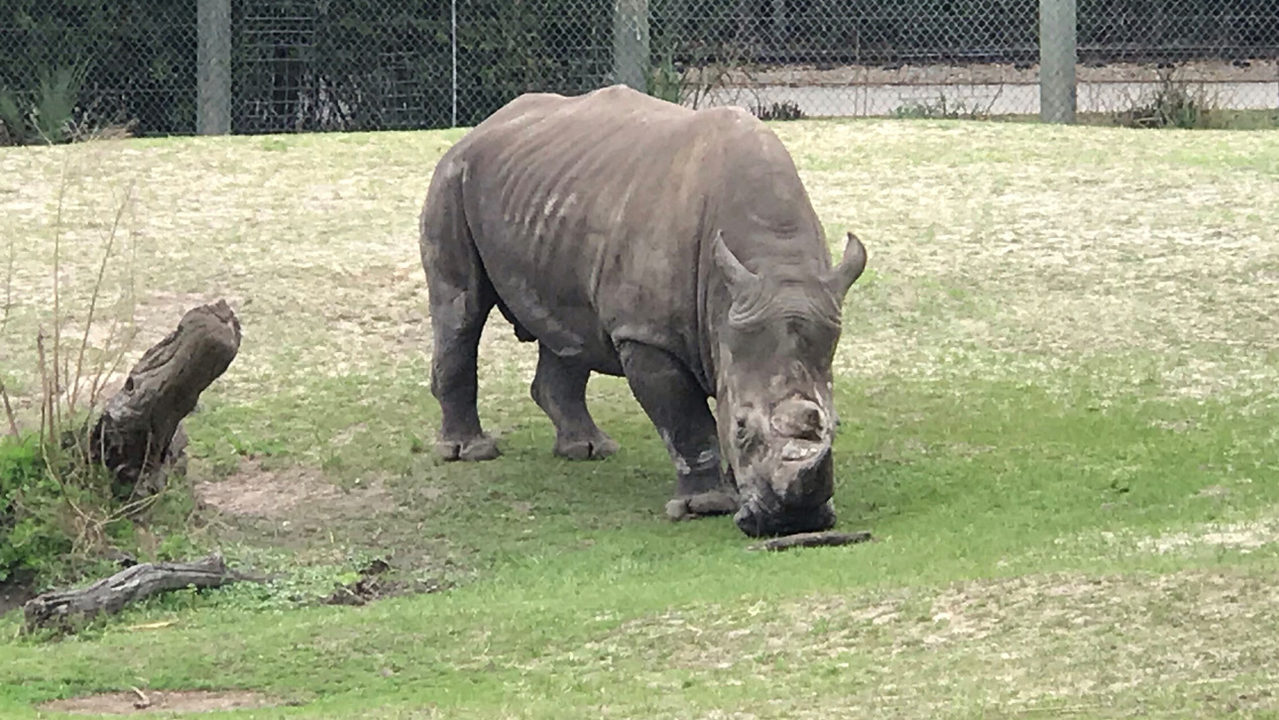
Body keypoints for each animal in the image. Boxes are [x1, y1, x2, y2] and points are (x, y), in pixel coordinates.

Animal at [419, 85, 866, 537]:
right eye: (741, 427)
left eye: (833, 424)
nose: (793, 522)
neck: (773, 265)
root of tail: (481, 128)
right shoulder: (647, 334)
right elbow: (685, 418)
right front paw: (707, 505)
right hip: (453, 178)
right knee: (460, 311)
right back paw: (470, 452)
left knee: (568, 331)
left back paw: (588, 449)